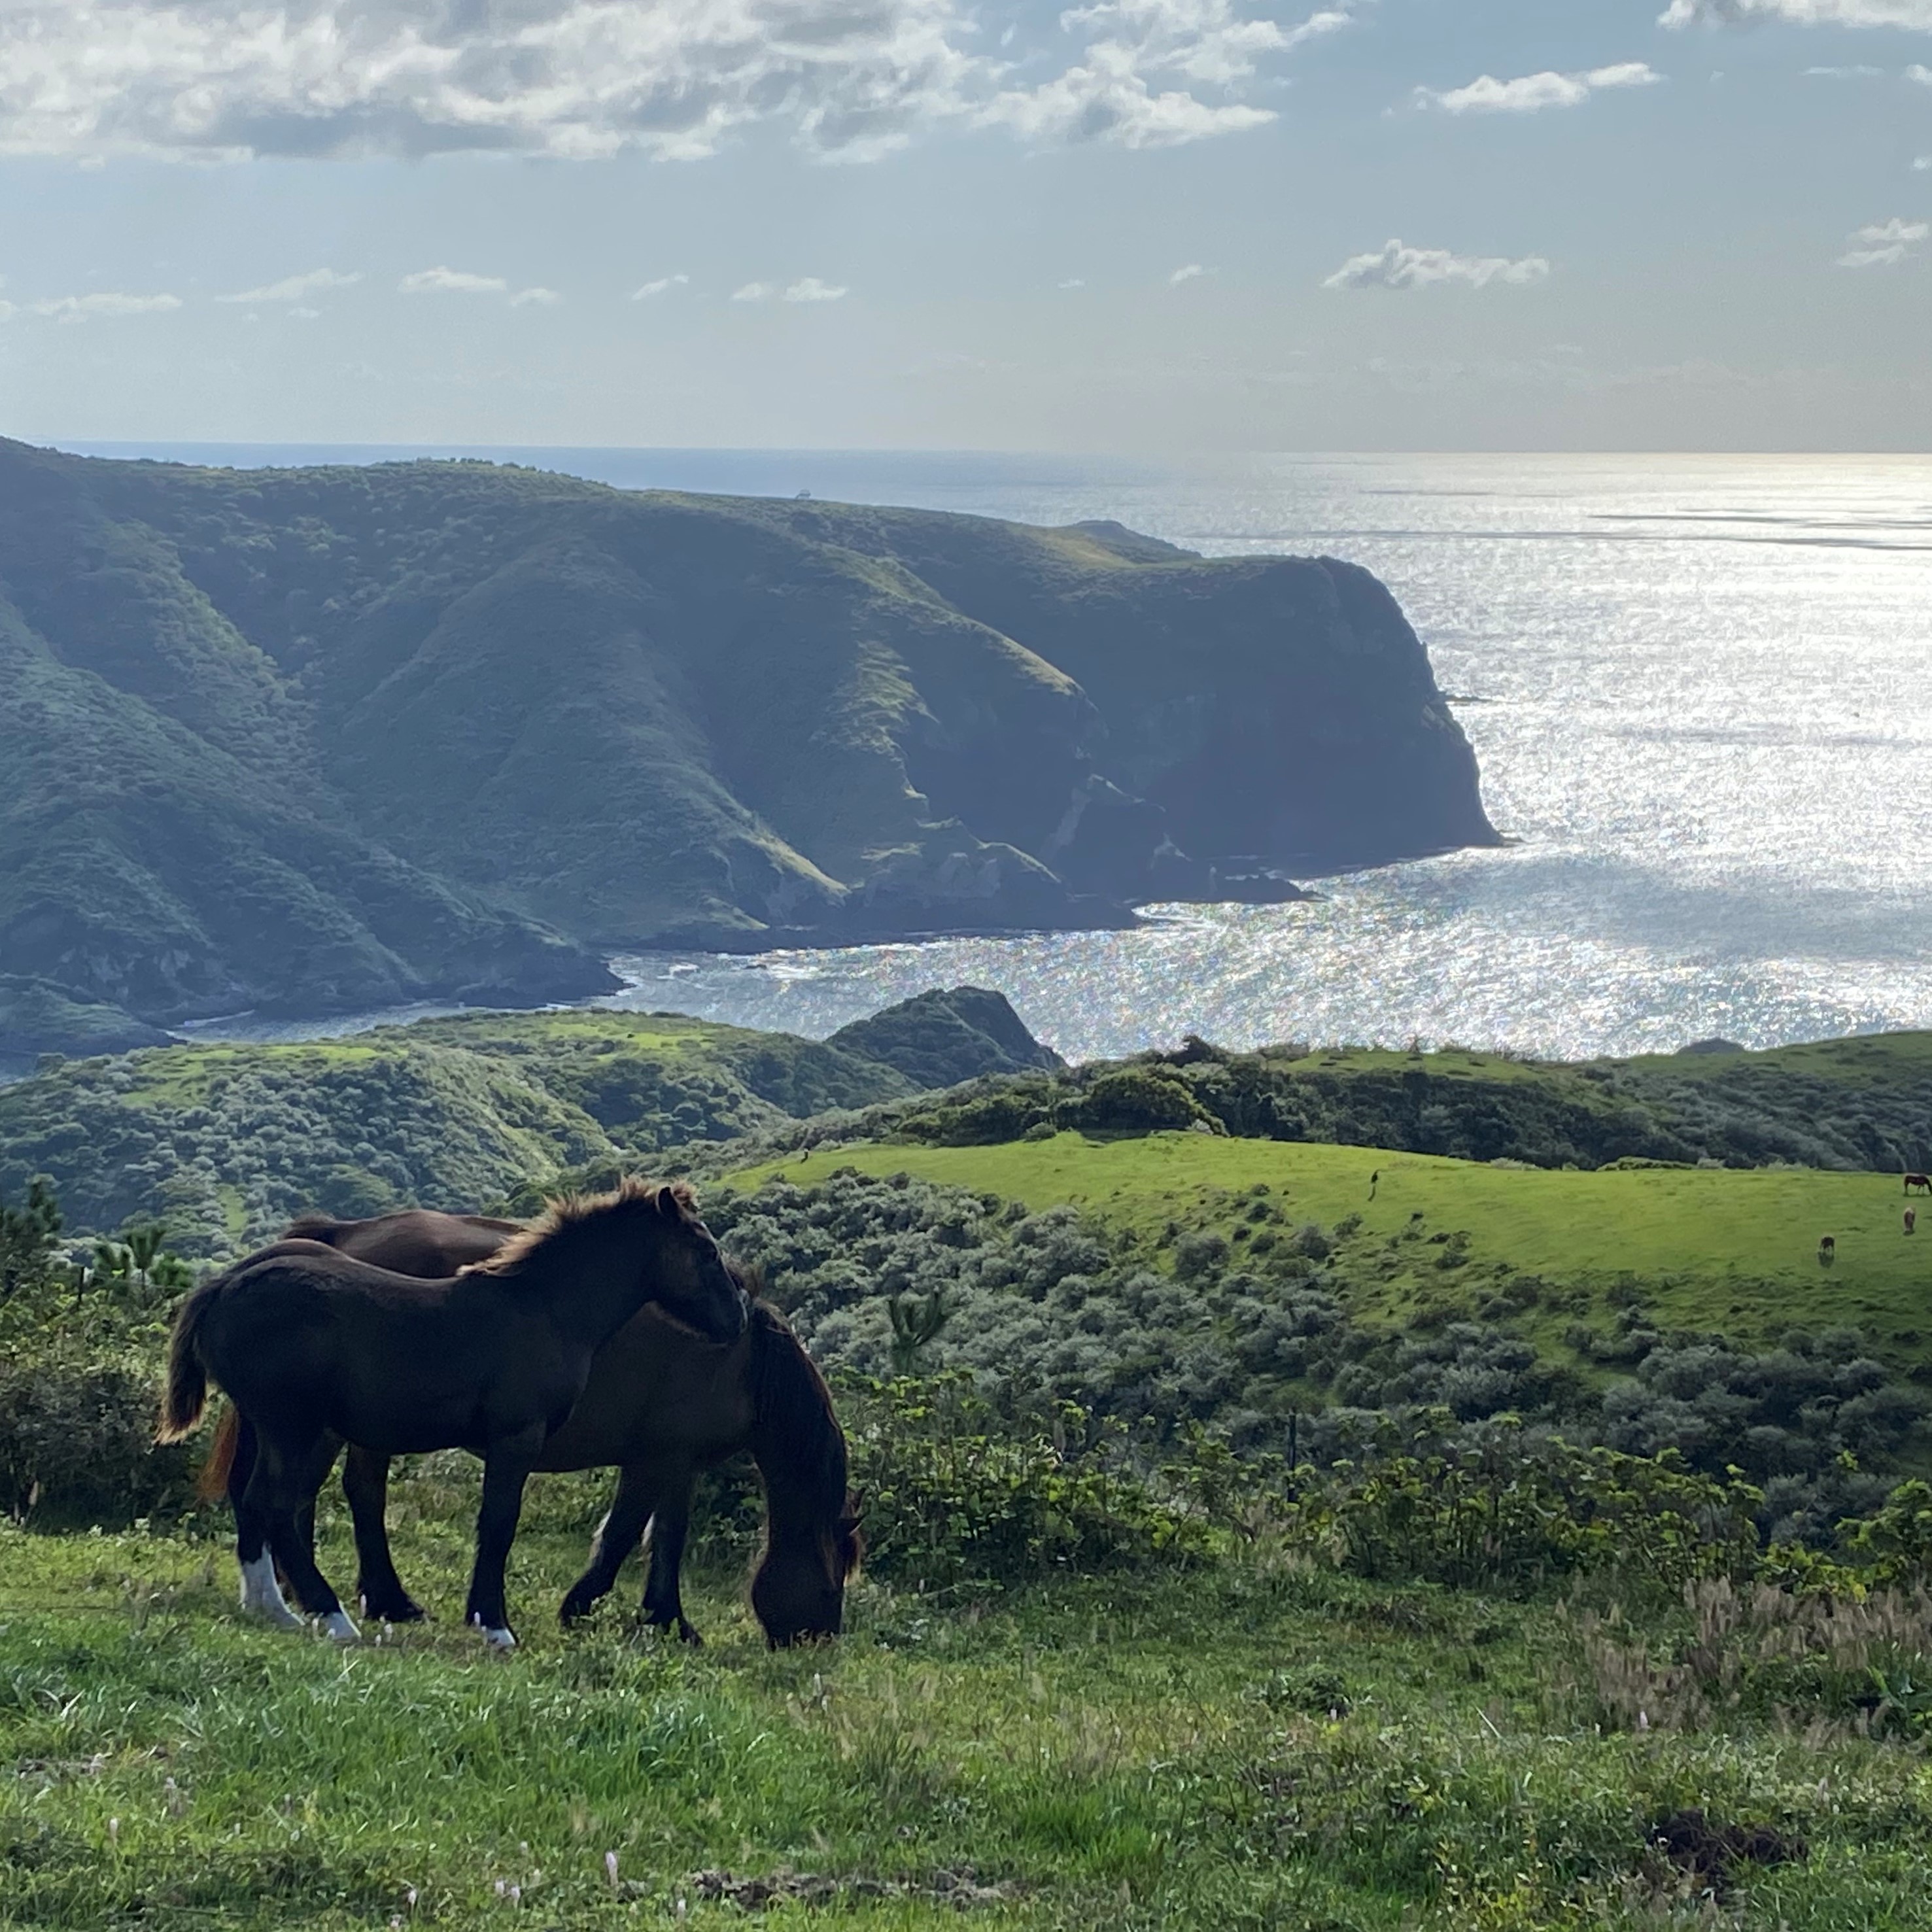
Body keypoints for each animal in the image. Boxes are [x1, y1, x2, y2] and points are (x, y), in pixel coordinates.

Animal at [203, 1205, 861, 1646]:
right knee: (322, 1497)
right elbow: (633, 1534)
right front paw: (608, 1611)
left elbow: (655, 1536)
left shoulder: (677, 1464)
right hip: (326, 1427)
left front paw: (657, 1616)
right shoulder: (662, 1457)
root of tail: (339, 1234)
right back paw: (347, 1601)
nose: (817, 1641)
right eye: (833, 1583)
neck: (745, 1363)